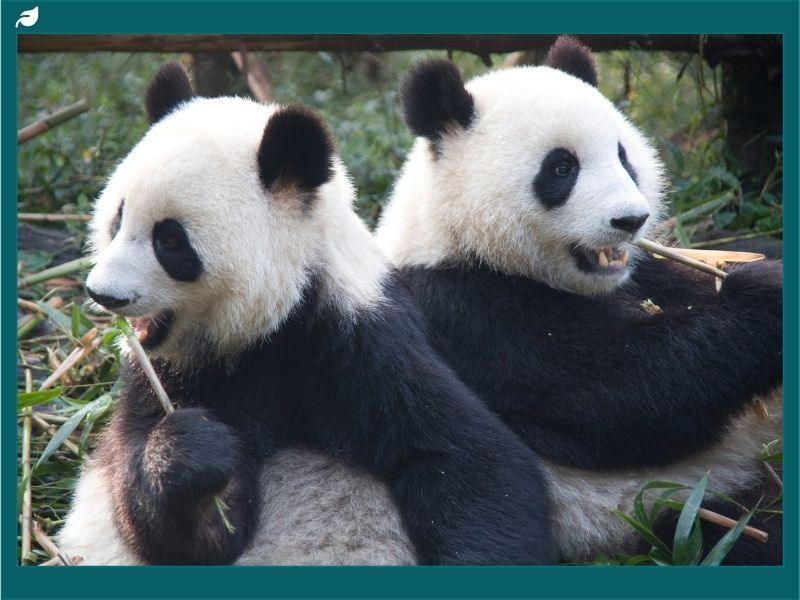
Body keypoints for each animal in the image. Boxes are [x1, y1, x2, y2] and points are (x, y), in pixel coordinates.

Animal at [57, 62, 554, 566]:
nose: (103, 294)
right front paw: (191, 451)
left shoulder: (358, 342)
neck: (269, 327)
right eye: (117, 219)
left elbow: (472, 461)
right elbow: (171, 527)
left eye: (170, 240)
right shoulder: (170, 375)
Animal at [374, 37, 783, 564]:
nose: (631, 220)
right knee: (747, 529)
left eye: (623, 157)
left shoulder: (648, 273)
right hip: (670, 516)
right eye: (562, 167)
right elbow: (627, 394)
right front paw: (768, 296)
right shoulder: (465, 312)